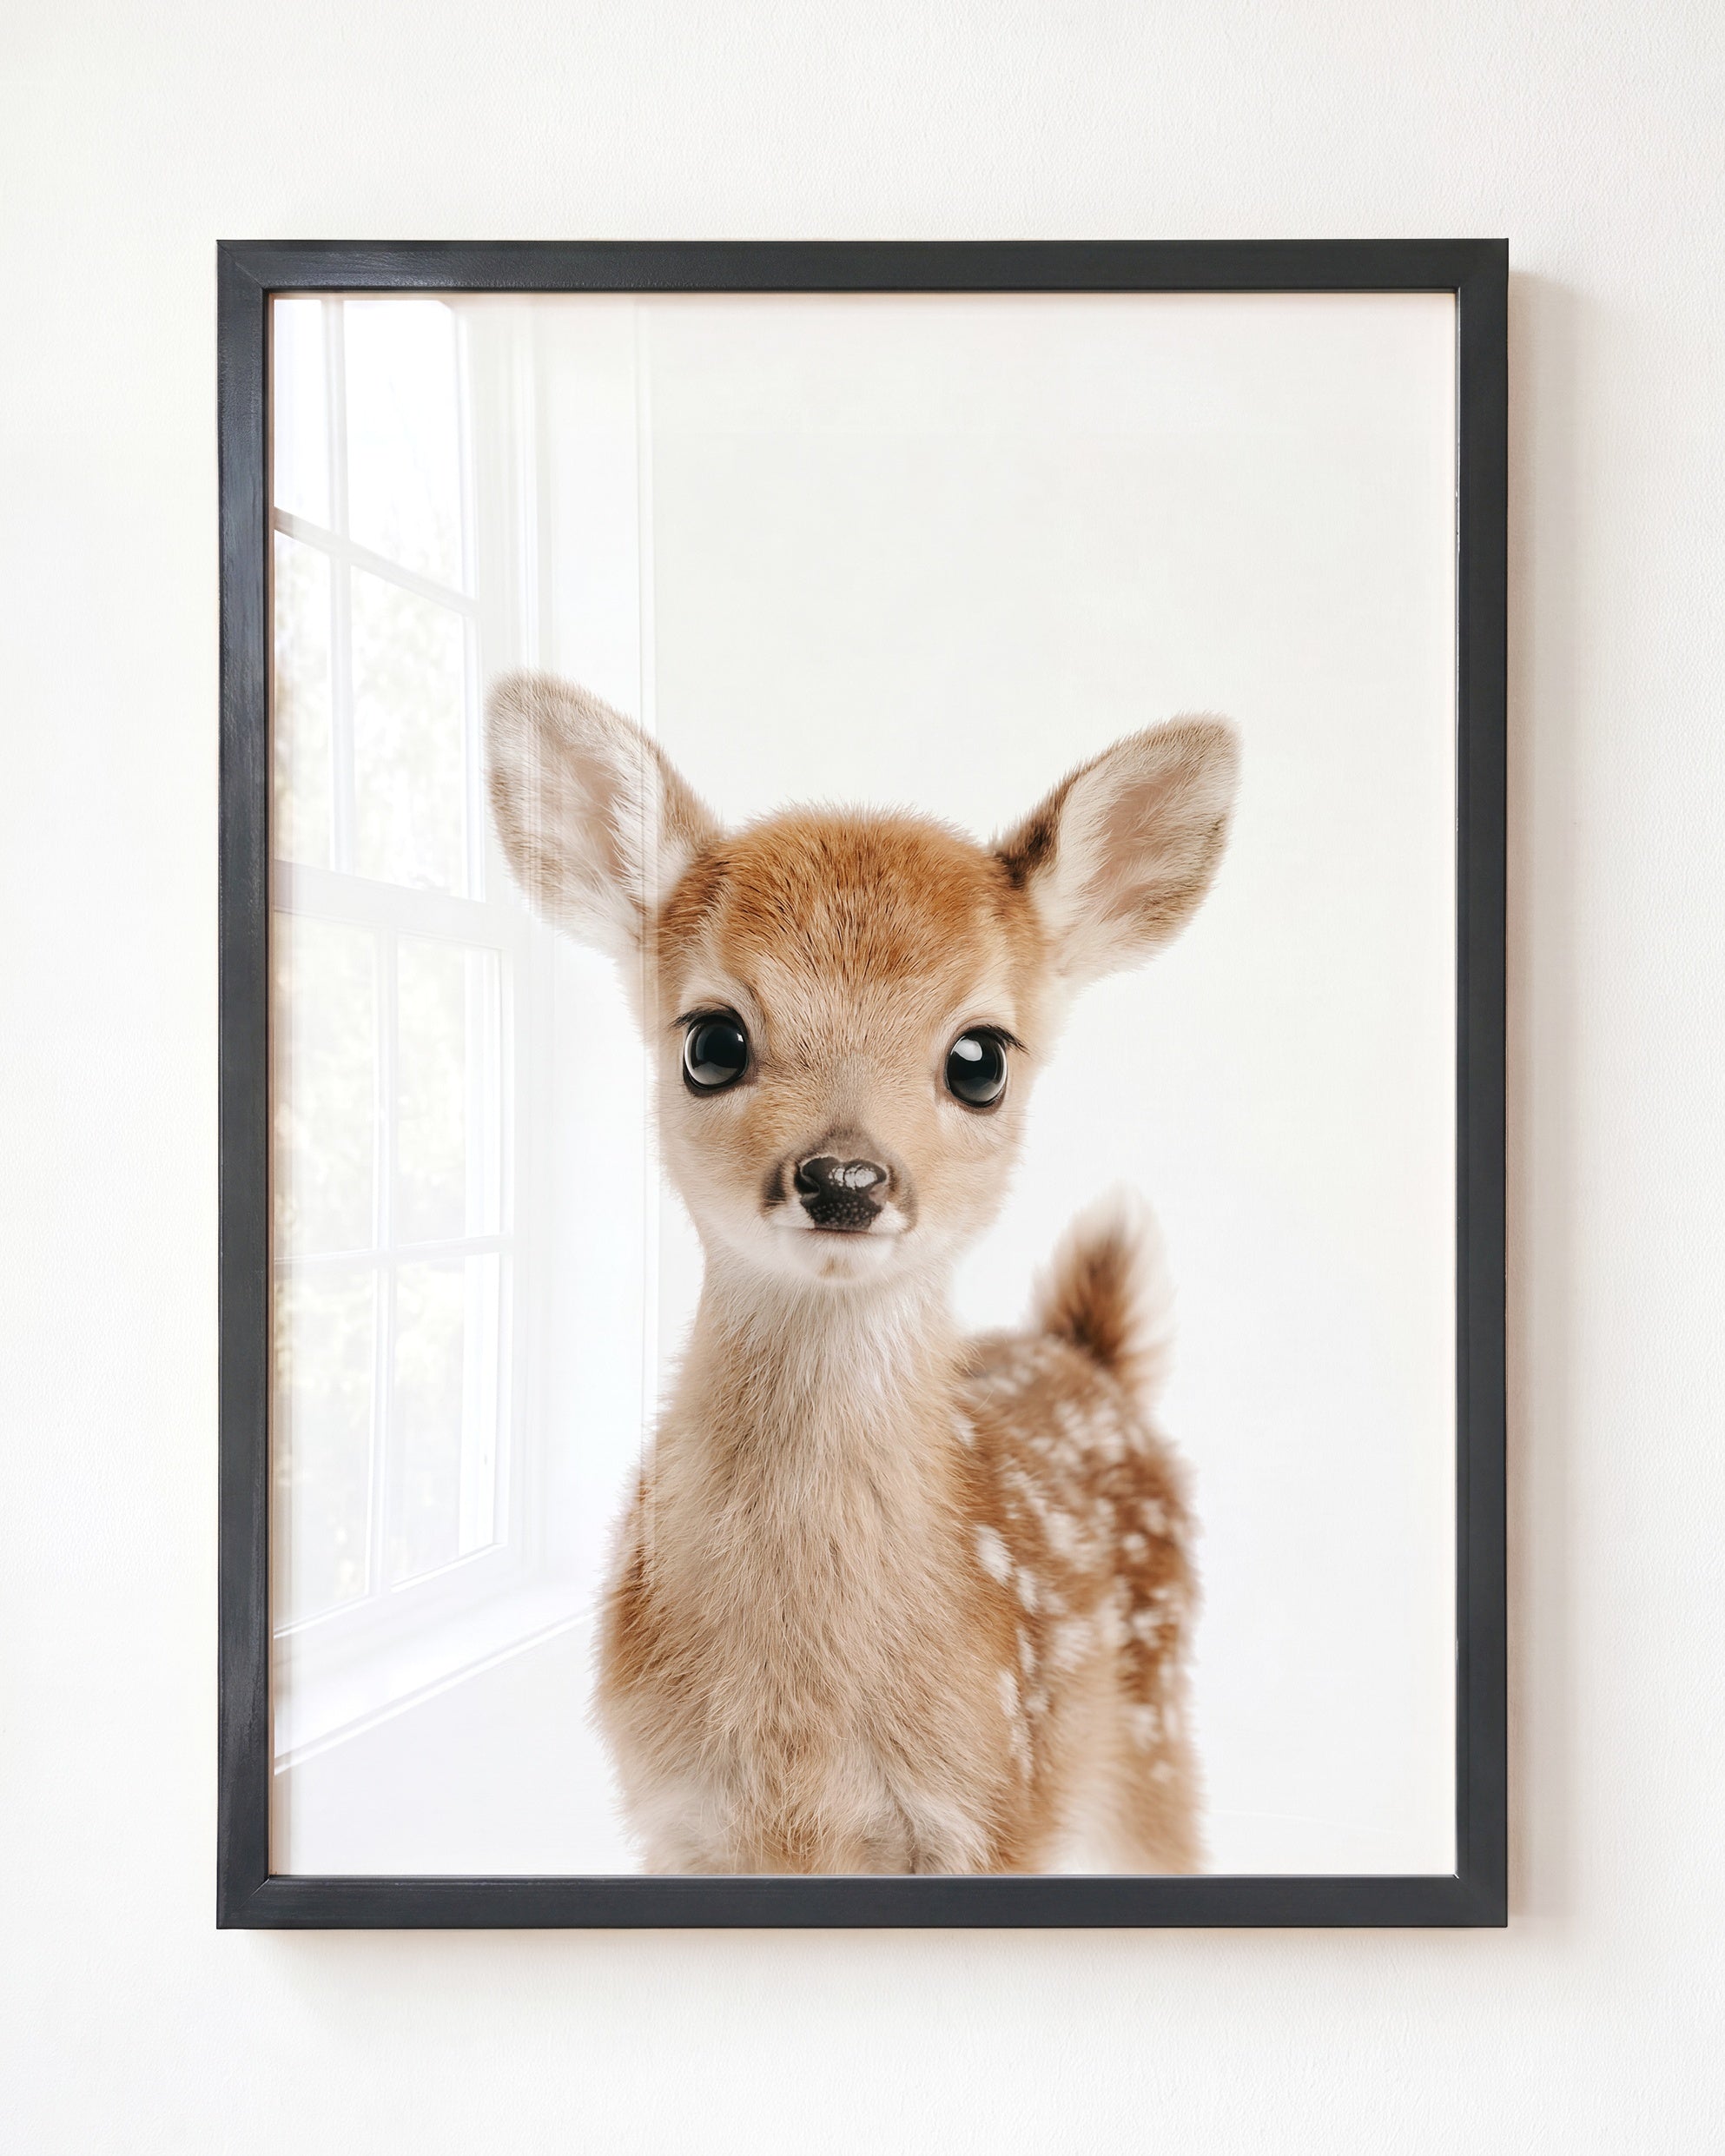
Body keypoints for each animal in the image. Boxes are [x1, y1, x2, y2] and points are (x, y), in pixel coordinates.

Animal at [486, 672, 1238, 1874]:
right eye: (711, 1041)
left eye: (981, 1058)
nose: (844, 1177)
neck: (801, 1737)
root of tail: (1088, 1354)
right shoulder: (675, 1817)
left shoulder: (994, 1804)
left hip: (1149, 1730)